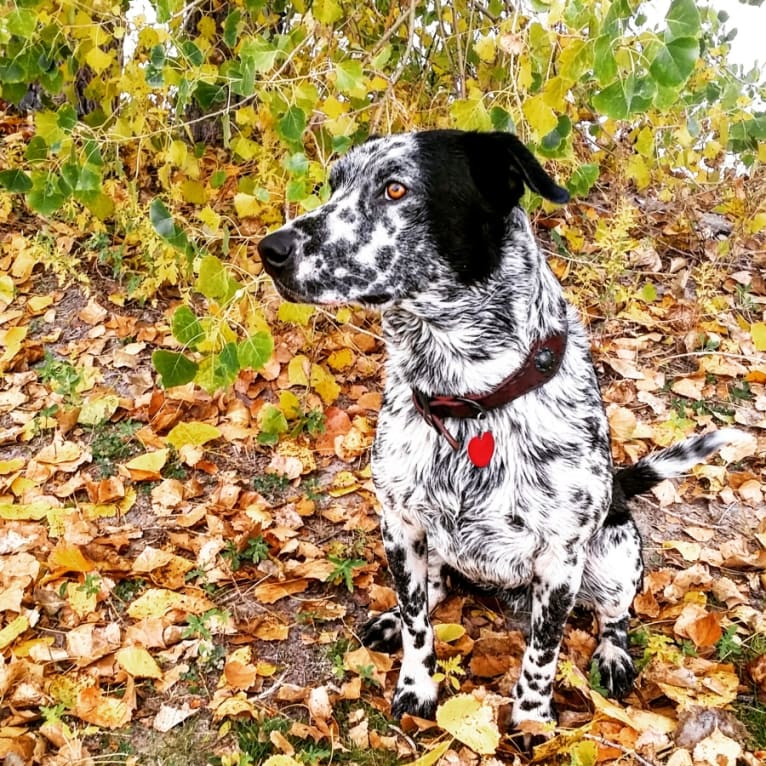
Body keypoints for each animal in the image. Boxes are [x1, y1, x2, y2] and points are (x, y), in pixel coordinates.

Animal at [258, 132, 744, 736]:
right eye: (334, 184)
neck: (467, 399)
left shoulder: (560, 558)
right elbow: (420, 625)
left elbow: (543, 651)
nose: (271, 249)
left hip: (614, 556)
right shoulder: (399, 524)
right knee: (435, 588)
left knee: (614, 615)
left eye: (395, 188)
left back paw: (612, 652)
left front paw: (532, 719)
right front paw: (417, 687)